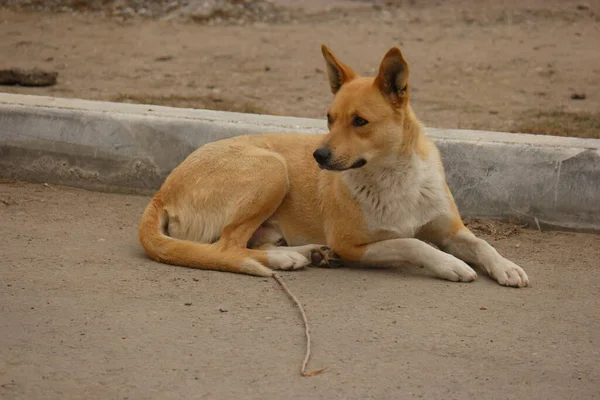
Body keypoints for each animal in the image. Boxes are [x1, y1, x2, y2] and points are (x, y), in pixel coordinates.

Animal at [138, 43, 528, 288]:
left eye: (359, 121)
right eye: (329, 118)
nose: (318, 156)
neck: (393, 176)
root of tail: (163, 191)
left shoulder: (452, 229)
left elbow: (482, 243)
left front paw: (507, 266)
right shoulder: (351, 245)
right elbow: (411, 243)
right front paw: (450, 264)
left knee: (248, 243)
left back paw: (303, 253)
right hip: (272, 169)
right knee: (227, 247)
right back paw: (287, 260)